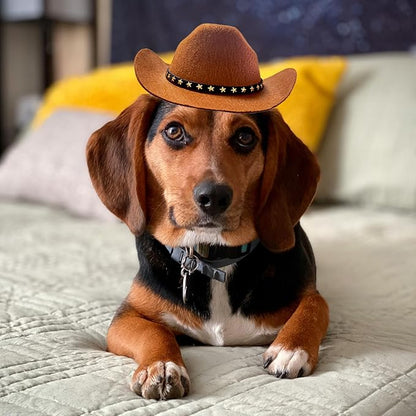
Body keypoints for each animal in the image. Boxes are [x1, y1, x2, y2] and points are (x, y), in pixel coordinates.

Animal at [87, 23, 328, 400]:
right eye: (174, 131)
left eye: (245, 137)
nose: (213, 197)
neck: (213, 258)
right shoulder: (127, 316)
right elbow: (154, 332)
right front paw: (161, 366)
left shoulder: (309, 292)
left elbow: (315, 307)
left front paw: (292, 348)